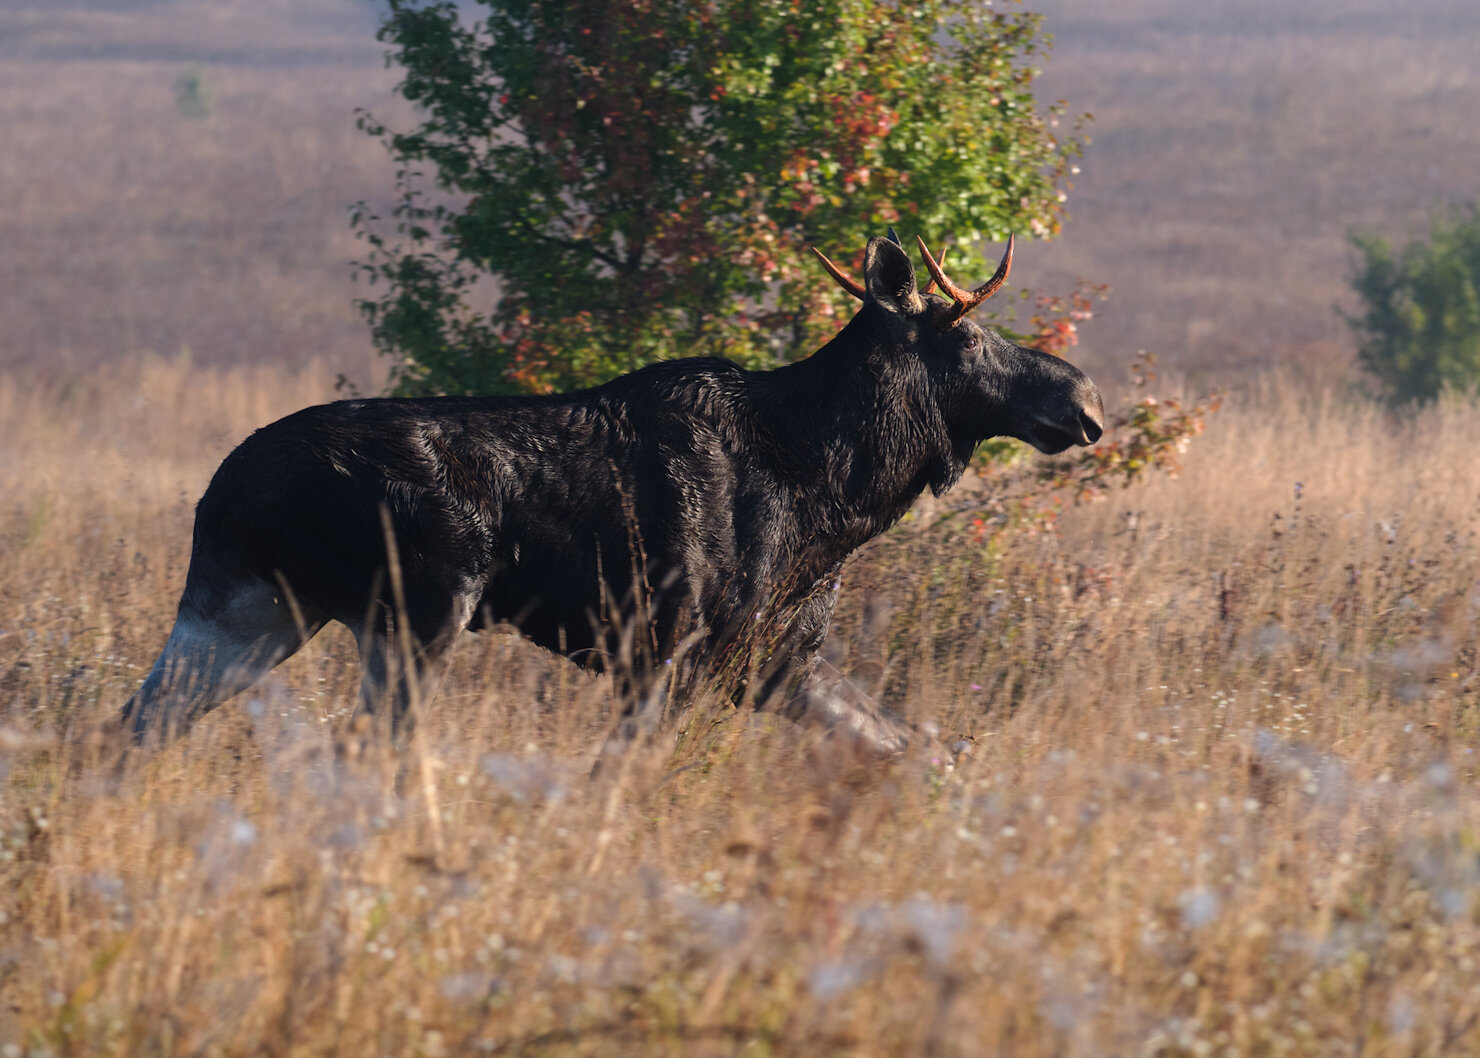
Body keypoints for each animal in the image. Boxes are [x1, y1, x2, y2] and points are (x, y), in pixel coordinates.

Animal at [122, 231, 1103, 755]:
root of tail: (221, 489)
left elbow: (911, 745)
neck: (833, 494)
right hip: (418, 612)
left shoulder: (776, 661)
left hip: (250, 608)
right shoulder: (667, 650)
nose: (1082, 396)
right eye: (966, 335)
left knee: (127, 724)